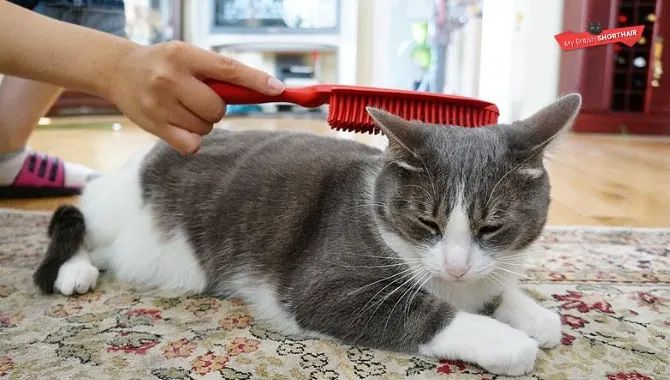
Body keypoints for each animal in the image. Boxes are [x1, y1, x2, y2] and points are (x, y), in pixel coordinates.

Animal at [34, 94, 584, 374]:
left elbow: (497, 286)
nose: (456, 265)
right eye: (426, 222)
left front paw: (533, 315)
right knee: (74, 220)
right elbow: (426, 315)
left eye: (492, 226)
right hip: (120, 212)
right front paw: (510, 342)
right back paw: (76, 270)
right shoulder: (327, 284)